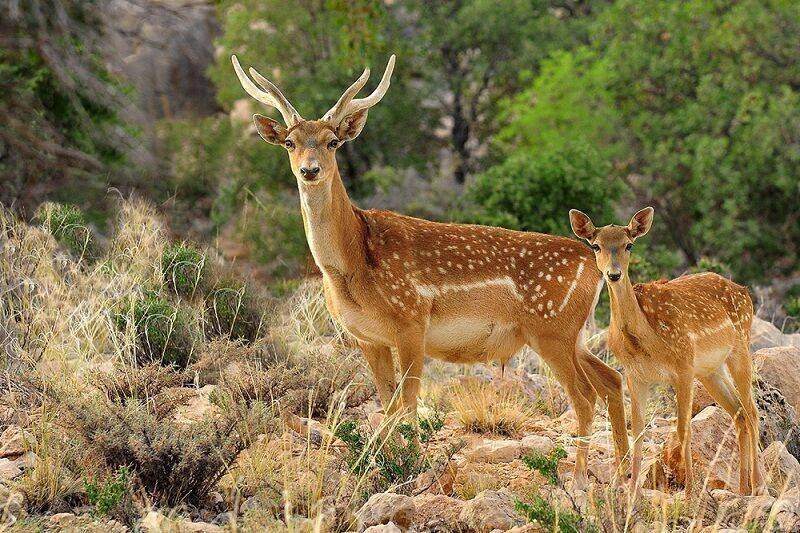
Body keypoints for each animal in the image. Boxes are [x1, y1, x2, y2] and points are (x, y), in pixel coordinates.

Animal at [231, 53, 630, 487]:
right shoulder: (367, 337)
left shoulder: (411, 321)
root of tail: (593, 264)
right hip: (573, 334)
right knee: (612, 380)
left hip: (551, 328)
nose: (310, 170)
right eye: (290, 142)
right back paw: (623, 471)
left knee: (584, 396)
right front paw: (387, 467)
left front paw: (409, 469)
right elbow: (388, 403)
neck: (352, 265)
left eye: (333, 141)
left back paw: (580, 478)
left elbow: (406, 405)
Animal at [569, 207, 765, 496]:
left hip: (740, 347)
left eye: (629, 244)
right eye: (596, 245)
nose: (614, 274)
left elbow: (684, 429)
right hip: (709, 370)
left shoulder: (683, 366)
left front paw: (690, 491)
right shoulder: (635, 375)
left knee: (752, 412)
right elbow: (638, 430)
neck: (645, 341)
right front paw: (633, 491)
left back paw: (759, 485)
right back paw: (742, 488)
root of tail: (745, 291)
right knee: (739, 413)